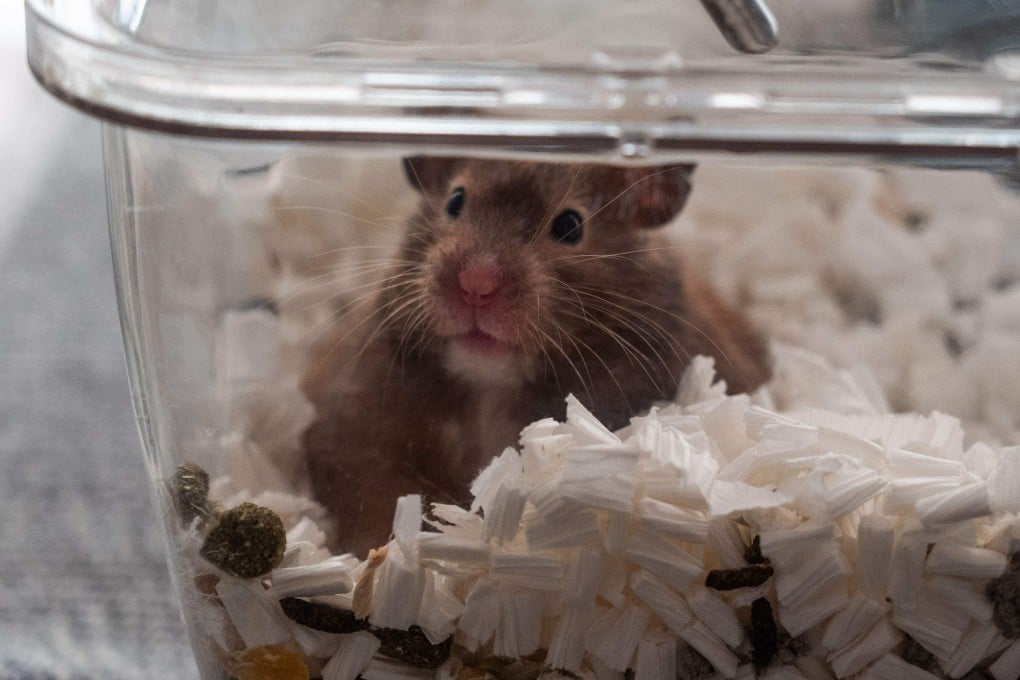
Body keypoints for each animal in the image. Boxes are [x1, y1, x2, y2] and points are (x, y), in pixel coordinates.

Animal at [301, 157, 771, 555]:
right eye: (455, 202)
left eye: (570, 225)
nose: (476, 285)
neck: (491, 386)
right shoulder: (356, 433)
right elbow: (381, 499)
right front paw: (380, 555)